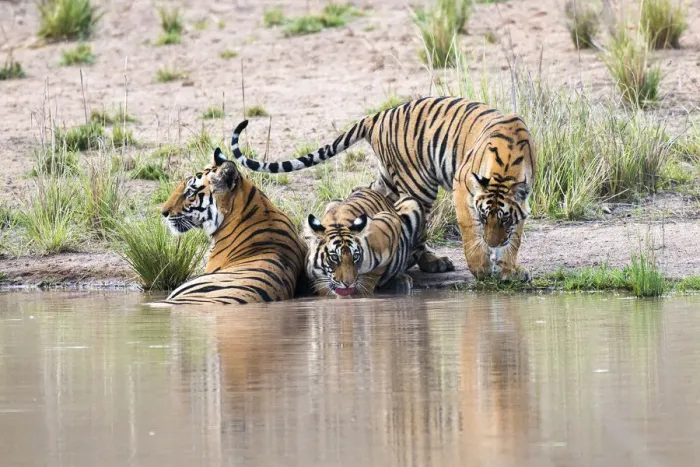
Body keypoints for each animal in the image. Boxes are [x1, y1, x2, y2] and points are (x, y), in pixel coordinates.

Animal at [231, 98, 535, 281]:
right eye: (484, 217)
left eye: (504, 219)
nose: (493, 244)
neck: (506, 170)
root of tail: (378, 115)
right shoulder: (463, 188)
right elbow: (471, 233)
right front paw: (482, 269)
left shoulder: (521, 203)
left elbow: (515, 239)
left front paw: (509, 270)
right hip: (418, 184)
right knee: (417, 228)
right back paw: (431, 263)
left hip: (388, 177)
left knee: (369, 194)